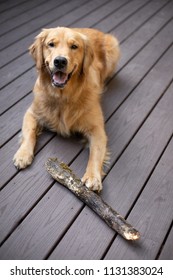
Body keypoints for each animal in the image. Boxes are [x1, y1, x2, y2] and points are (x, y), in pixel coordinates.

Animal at [13, 26, 120, 191]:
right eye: (51, 44)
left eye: (74, 46)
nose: (60, 61)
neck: (62, 97)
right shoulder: (31, 113)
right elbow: (29, 133)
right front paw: (23, 154)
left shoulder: (97, 129)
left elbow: (95, 153)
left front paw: (93, 177)